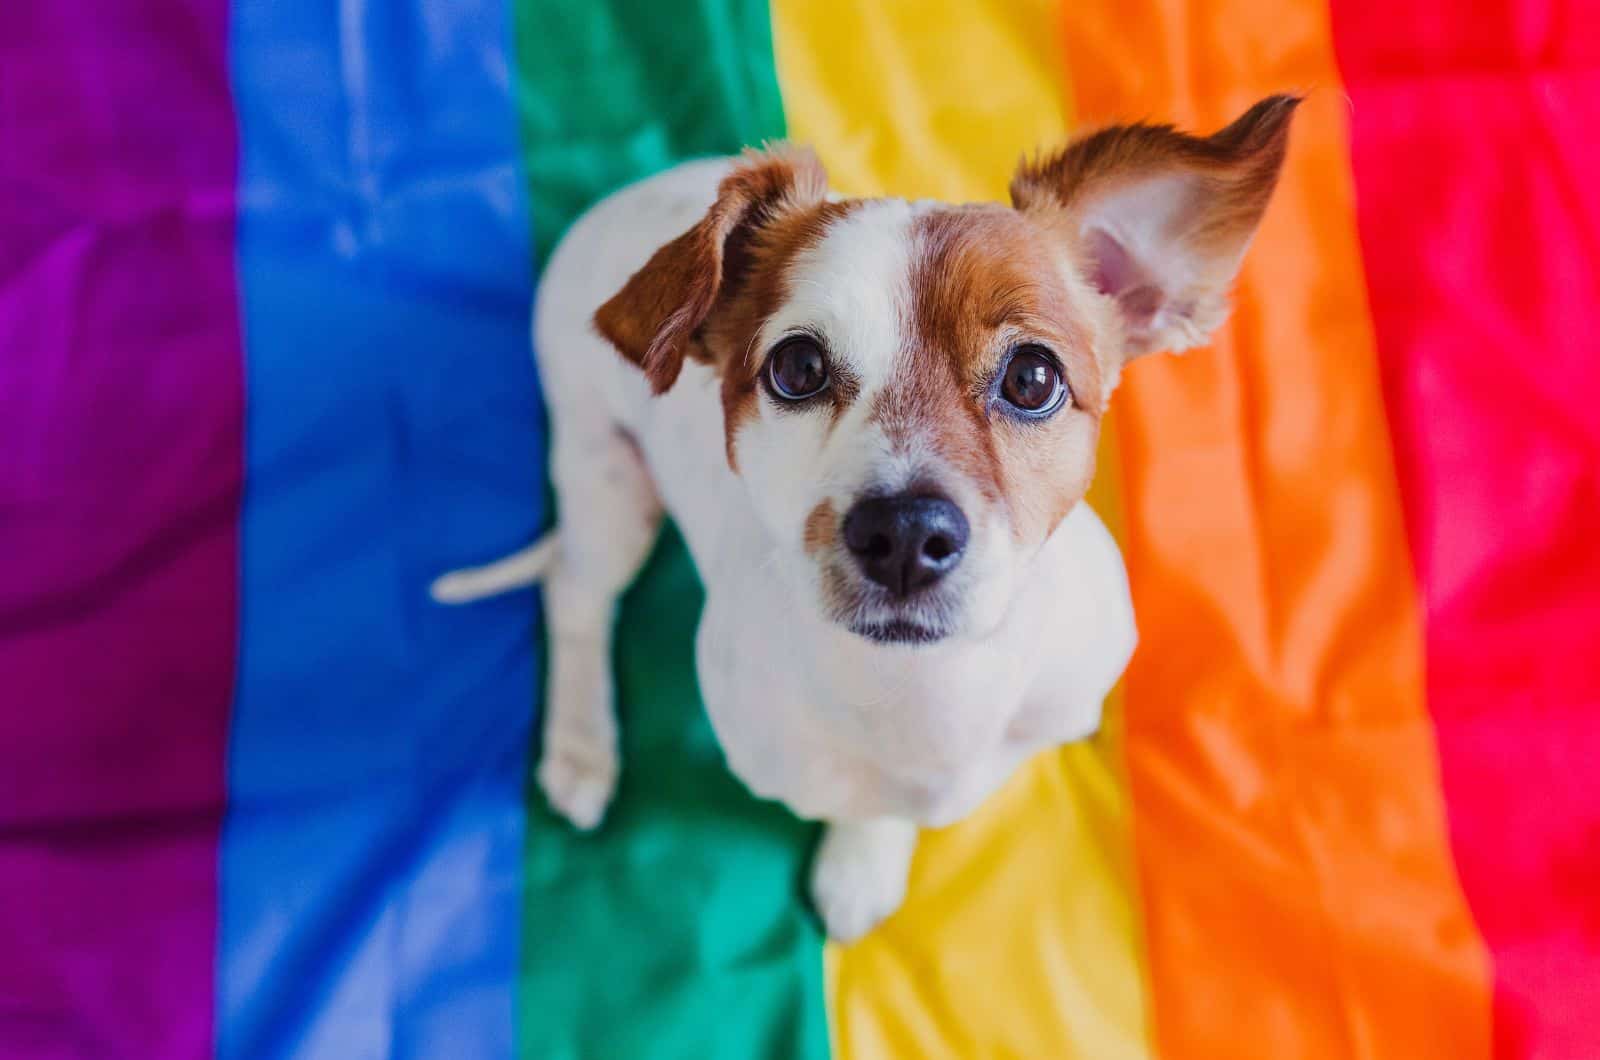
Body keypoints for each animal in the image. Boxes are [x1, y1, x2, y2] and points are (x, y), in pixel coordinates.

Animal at [435, 91, 1299, 941]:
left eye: (1032, 377)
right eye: (797, 367)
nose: (906, 532)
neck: (928, 689)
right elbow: (871, 809)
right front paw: (863, 864)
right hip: (607, 481)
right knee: (575, 596)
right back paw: (582, 749)